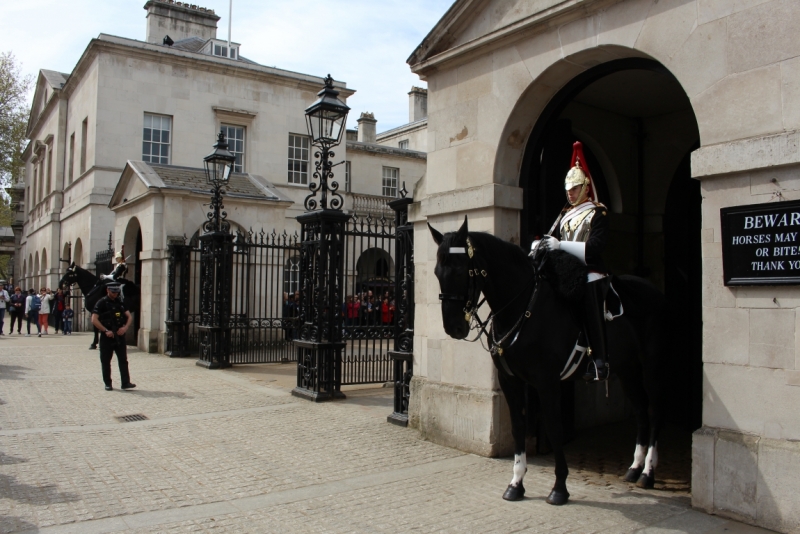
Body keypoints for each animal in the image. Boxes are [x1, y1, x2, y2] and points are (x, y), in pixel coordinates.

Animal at [428, 218, 664, 506]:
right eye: (437, 272)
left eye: (461, 271)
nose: (454, 328)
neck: (521, 307)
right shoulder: (510, 381)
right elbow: (518, 426)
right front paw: (516, 483)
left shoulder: (547, 382)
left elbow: (553, 427)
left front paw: (559, 488)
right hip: (627, 369)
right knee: (640, 410)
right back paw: (634, 468)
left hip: (651, 365)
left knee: (653, 410)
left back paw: (648, 472)